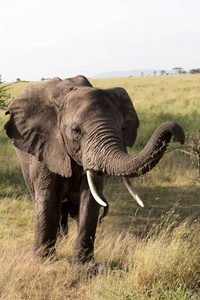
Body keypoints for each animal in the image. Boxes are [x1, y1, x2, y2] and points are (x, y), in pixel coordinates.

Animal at [3, 75, 184, 264]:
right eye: (76, 131)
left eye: (123, 129)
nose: (177, 134)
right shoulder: (44, 146)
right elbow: (46, 196)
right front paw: (43, 262)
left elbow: (90, 197)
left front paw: (83, 266)